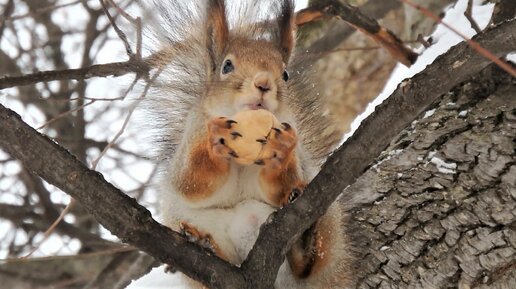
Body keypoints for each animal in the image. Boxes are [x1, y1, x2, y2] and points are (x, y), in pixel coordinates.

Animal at [142, 0, 358, 288]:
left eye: (285, 74)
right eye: (227, 66)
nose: (263, 83)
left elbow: (279, 187)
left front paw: (280, 153)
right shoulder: (192, 134)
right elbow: (190, 182)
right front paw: (215, 143)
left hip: (328, 223)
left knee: (311, 263)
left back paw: (305, 243)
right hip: (186, 219)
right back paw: (204, 244)